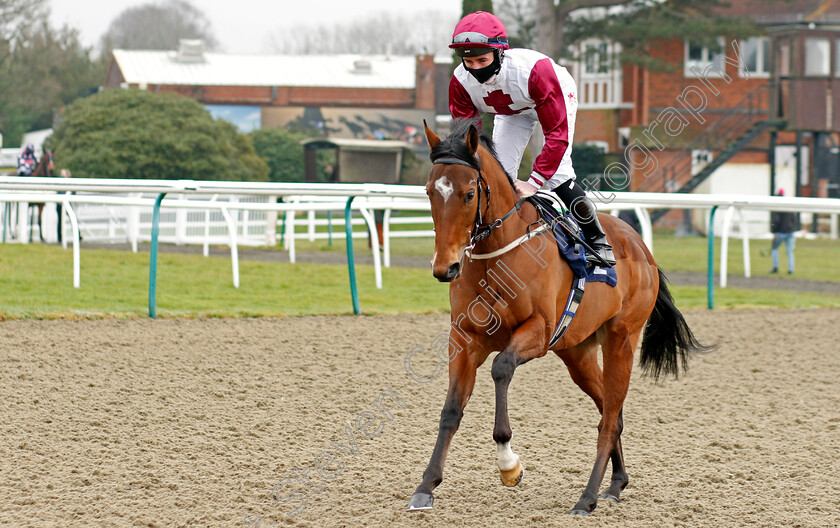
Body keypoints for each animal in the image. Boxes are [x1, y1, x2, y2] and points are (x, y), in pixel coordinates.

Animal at [406, 120, 708, 516]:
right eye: (429, 191)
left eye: (469, 194)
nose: (446, 267)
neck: (497, 255)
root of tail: (641, 247)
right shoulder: (465, 338)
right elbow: (451, 411)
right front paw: (425, 486)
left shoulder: (538, 331)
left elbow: (501, 368)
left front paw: (509, 465)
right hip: (578, 353)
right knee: (612, 413)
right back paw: (616, 483)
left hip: (621, 340)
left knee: (609, 419)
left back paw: (588, 497)